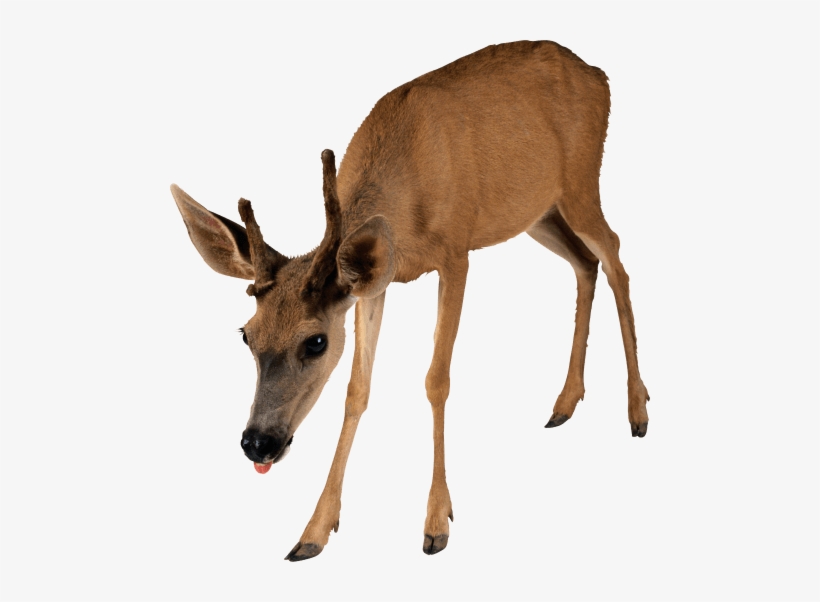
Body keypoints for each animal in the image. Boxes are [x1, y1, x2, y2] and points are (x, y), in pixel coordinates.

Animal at [171, 41, 650, 561]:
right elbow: (356, 390)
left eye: (315, 342)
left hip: (581, 183)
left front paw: (436, 522)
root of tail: (599, 75)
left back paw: (637, 409)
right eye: (245, 336)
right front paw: (313, 532)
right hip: (538, 211)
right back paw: (565, 401)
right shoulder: (375, 285)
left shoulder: (456, 253)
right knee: (586, 263)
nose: (258, 443)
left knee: (616, 255)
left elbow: (436, 379)